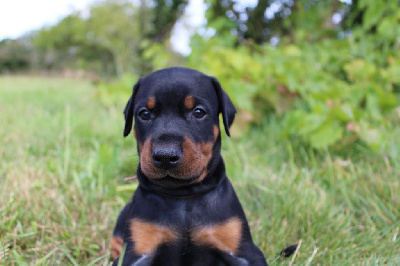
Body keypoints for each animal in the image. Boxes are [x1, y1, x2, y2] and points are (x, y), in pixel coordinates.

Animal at [111, 67, 268, 266]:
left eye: (198, 112)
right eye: (144, 114)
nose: (165, 156)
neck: (183, 196)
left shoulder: (244, 250)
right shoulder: (135, 252)